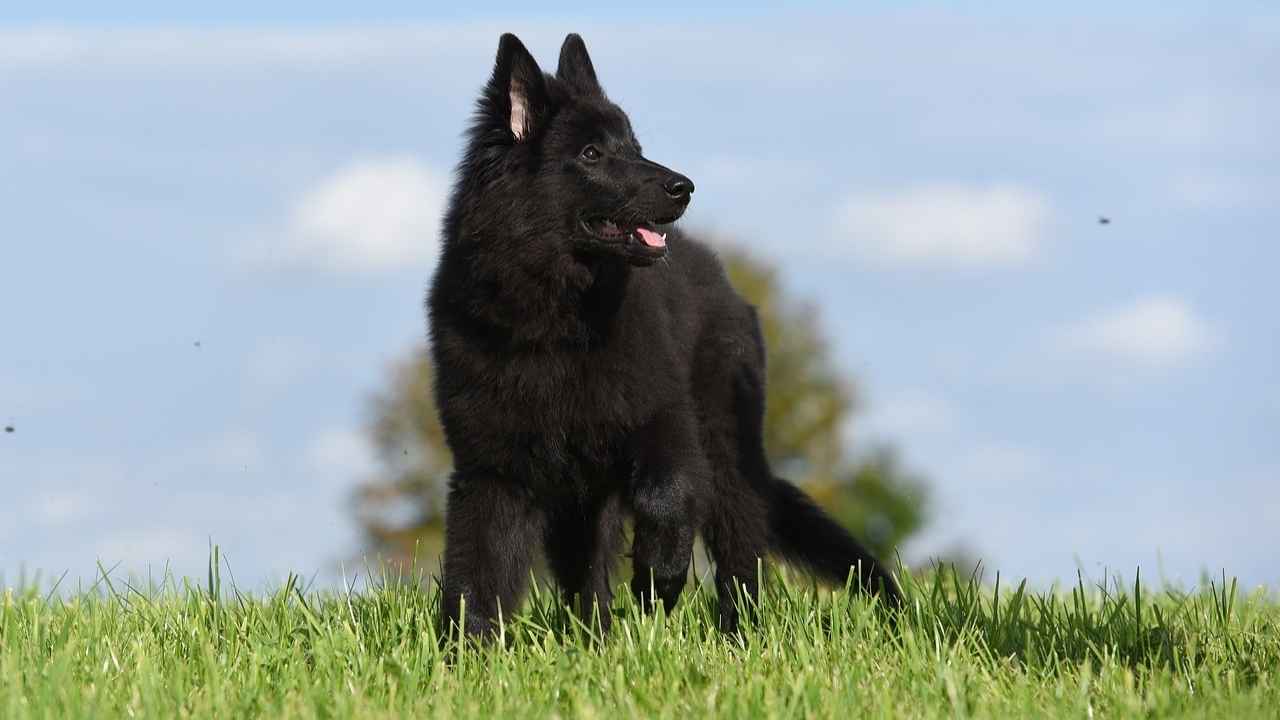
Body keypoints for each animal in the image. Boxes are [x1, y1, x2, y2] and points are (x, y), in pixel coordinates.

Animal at [430, 32, 901, 632]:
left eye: (634, 146)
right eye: (591, 154)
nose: (685, 187)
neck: (556, 317)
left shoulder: (663, 420)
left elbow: (667, 497)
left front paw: (659, 581)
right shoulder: (494, 468)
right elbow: (478, 572)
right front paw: (468, 647)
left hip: (725, 450)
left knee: (739, 554)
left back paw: (735, 633)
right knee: (586, 575)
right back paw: (596, 636)